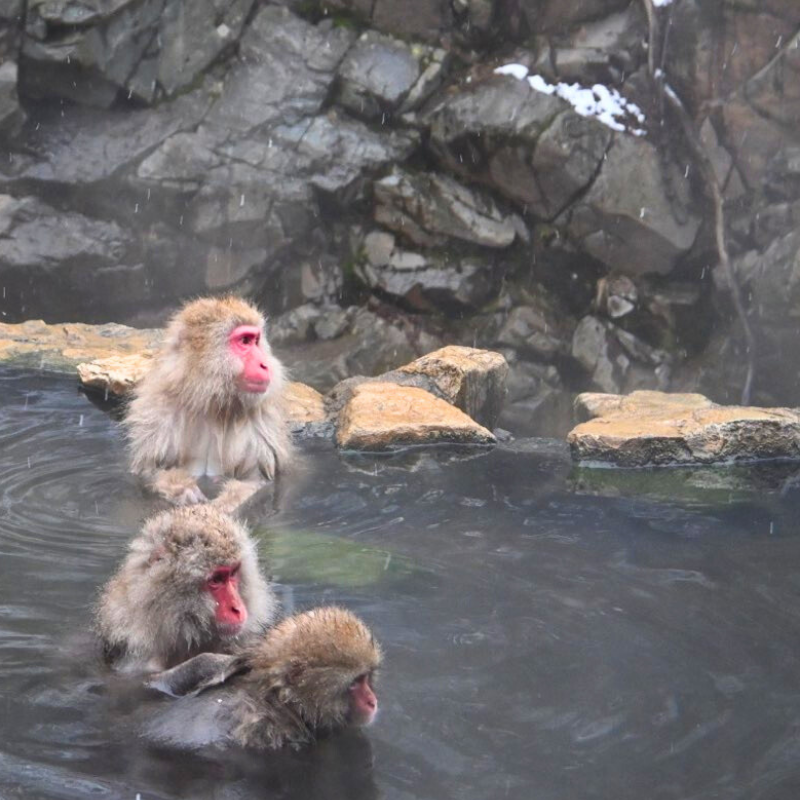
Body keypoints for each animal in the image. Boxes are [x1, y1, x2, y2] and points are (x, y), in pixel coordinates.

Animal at [128, 296, 294, 510]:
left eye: (256, 341)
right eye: (245, 341)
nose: (264, 364)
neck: (212, 404)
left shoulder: (262, 422)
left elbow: (256, 480)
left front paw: (222, 505)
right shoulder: (158, 413)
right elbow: (150, 471)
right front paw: (183, 490)